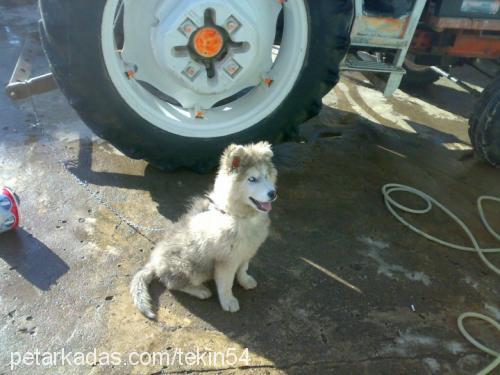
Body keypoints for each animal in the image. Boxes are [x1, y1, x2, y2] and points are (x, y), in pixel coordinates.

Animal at [131, 142, 278, 318]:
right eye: (252, 179)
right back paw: (200, 291)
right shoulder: (226, 260)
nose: (273, 193)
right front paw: (228, 301)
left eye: (267, 176)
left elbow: (243, 268)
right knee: (172, 283)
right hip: (190, 267)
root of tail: (154, 262)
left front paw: (245, 281)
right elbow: (226, 283)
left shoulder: (247, 250)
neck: (237, 216)